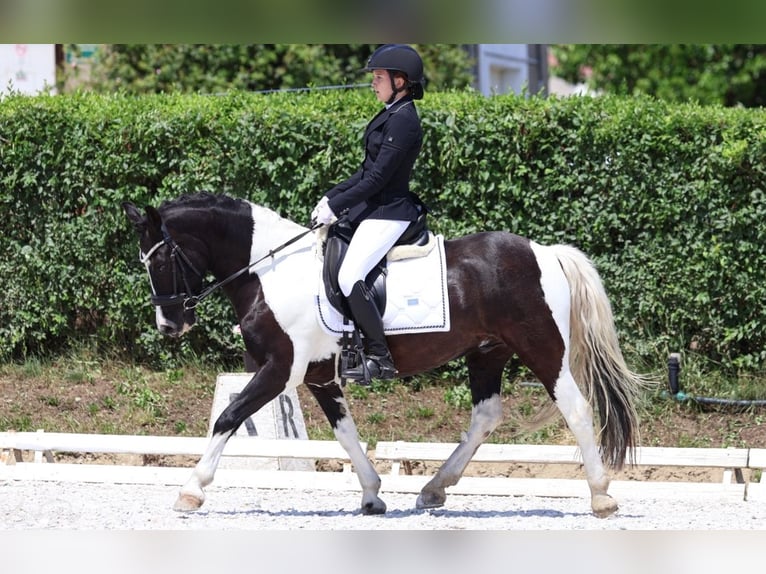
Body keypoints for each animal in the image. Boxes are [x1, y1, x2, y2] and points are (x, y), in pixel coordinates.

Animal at [122, 191, 647, 518]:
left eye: (161, 259)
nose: (169, 325)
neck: (269, 271)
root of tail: (545, 251)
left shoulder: (280, 370)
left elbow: (228, 417)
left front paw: (191, 490)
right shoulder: (320, 375)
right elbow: (346, 435)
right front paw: (373, 496)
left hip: (542, 347)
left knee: (577, 409)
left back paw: (601, 496)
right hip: (487, 352)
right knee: (485, 416)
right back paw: (434, 488)